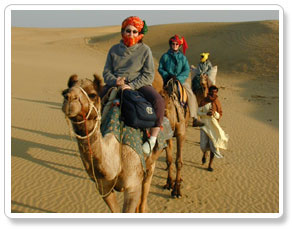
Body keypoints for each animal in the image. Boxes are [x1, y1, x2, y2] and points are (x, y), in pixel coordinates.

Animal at [61, 74, 162, 213]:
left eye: (92, 94)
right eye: (64, 92)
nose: (70, 98)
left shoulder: (133, 186)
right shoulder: (103, 188)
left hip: (151, 162)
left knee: (145, 189)